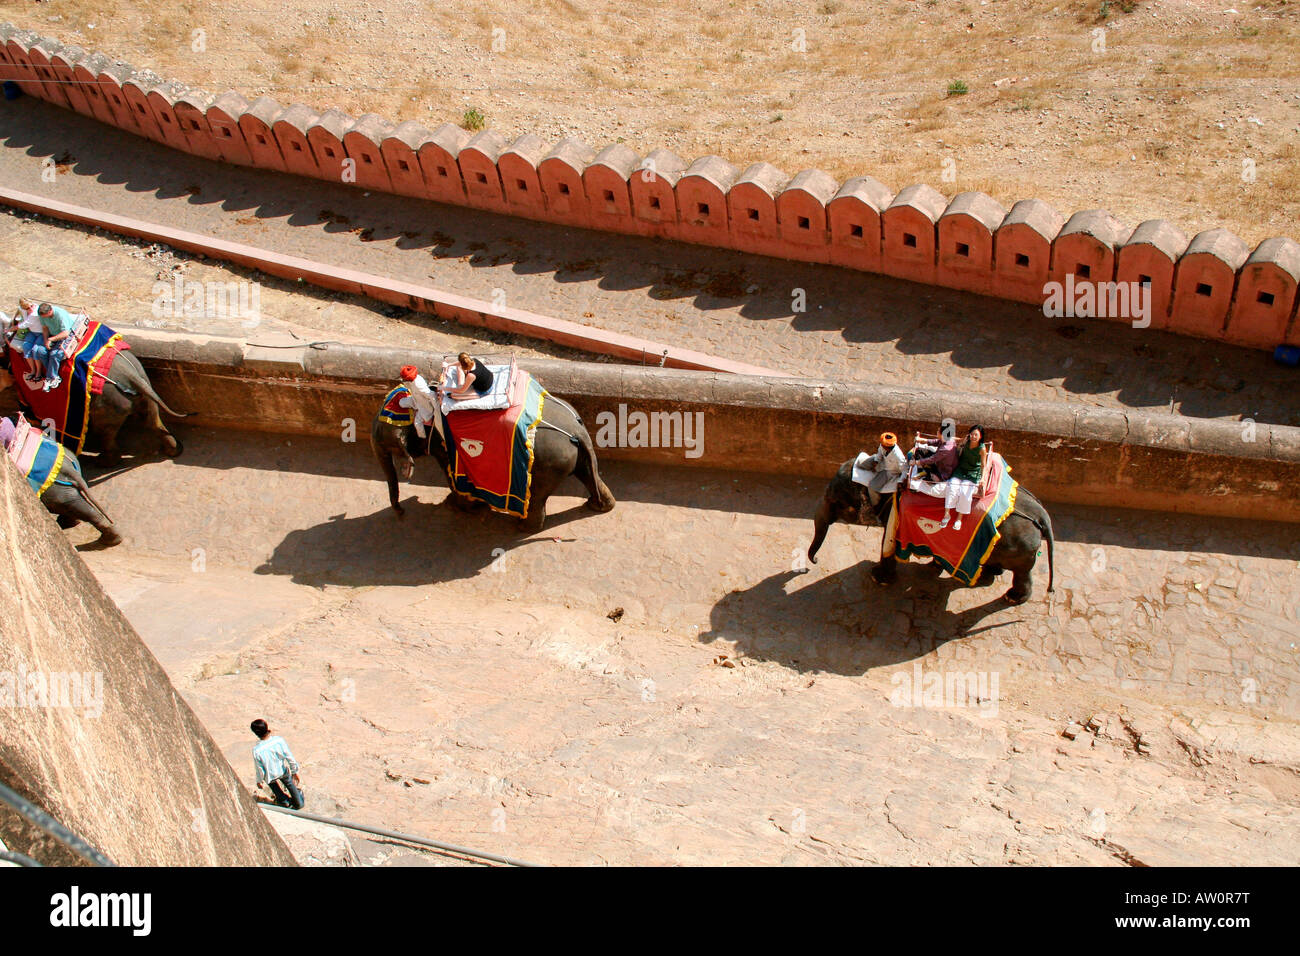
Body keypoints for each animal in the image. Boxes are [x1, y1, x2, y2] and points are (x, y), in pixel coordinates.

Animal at [371, 392, 618, 535]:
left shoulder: (444, 443)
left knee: (537, 496)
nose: (401, 513)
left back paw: (521, 526)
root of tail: (576, 430)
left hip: (547, 464)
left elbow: (452, 473)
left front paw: (458, 506)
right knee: (589, 474)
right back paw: (598, 506)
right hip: (575, 456)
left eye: (386, 444)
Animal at [800, 457, 1055, 606]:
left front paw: (878, 578)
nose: (814, 563)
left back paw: (1012, 598)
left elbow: (888, 543)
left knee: (1021, 571)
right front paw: (933, 567)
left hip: (1019, 547)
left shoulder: (895, 512)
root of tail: (1041, 514)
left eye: (835, 501)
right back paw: (989, 575)